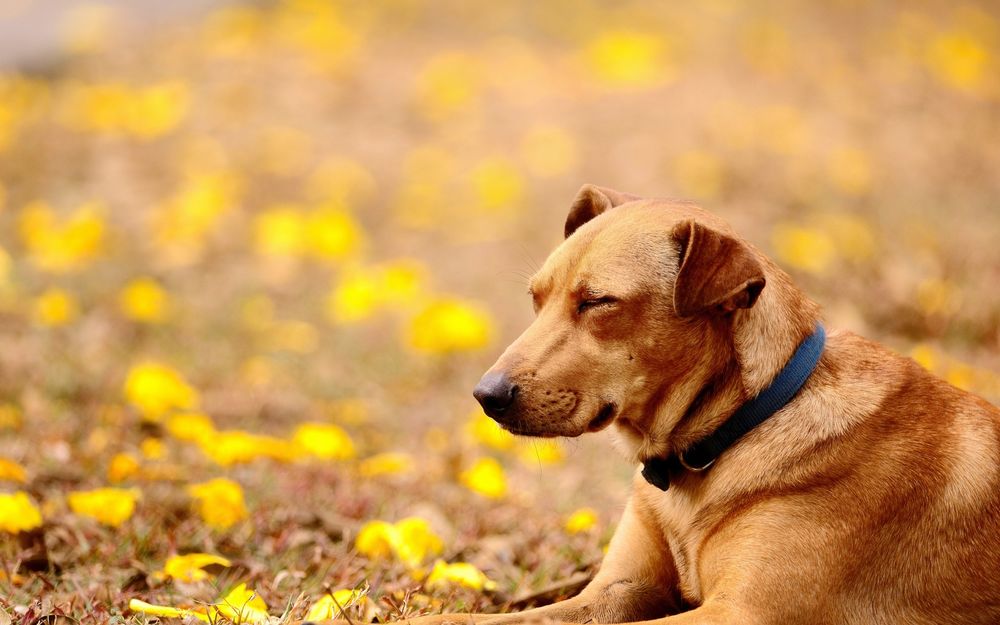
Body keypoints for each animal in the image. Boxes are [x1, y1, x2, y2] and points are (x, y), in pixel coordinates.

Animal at [308, 185, 996, 624]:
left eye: (598, 303)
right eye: (537, 298)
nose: (486, 396)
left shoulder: (742, 614)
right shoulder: (617, 590)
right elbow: (480, 621)